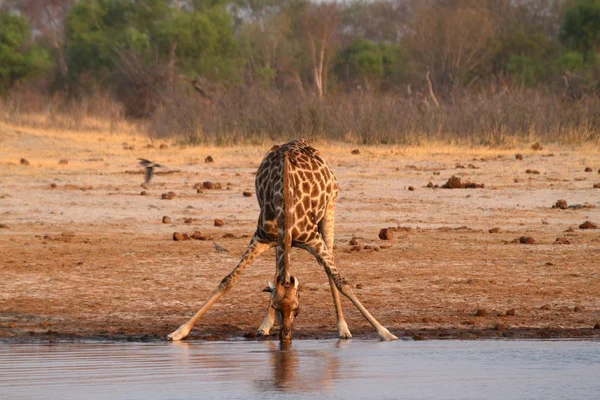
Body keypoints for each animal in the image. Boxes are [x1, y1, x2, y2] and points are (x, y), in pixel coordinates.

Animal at [166, 139, 396, 342]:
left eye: (297, 309)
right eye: (276, 307)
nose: (285, 335)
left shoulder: (313, 240)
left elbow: (343, 283)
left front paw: (385, 333)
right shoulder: (262, 237)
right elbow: (228, 280)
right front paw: (178, 332)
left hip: (330, 209)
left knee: (329, 266)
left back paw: (343, 328)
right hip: (279, 240)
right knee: (278, 269)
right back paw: (264, 326)